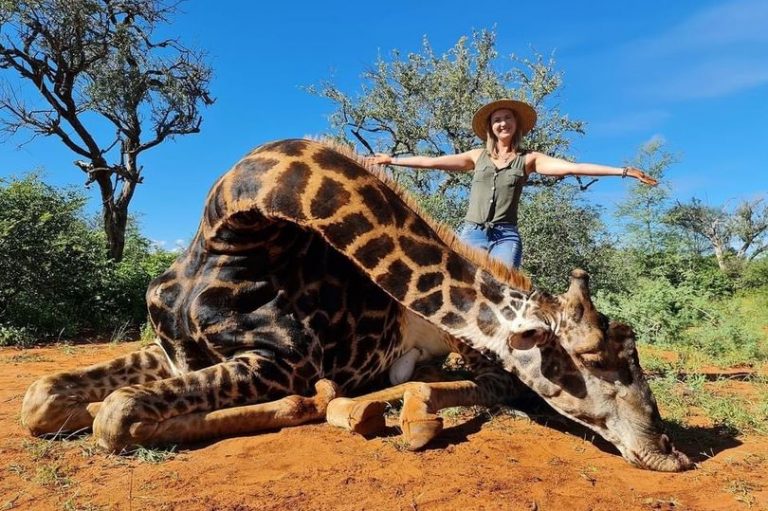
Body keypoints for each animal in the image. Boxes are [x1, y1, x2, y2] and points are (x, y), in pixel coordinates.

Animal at [21, 139, 692, 472]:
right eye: (597, 362)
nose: (670, 454)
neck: (229, 234)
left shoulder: (279, 363)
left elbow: (115, 415)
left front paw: (310, 405)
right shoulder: (172, 350)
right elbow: (42, 398)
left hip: (463, 351)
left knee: (493, 386)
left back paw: (387, 410)